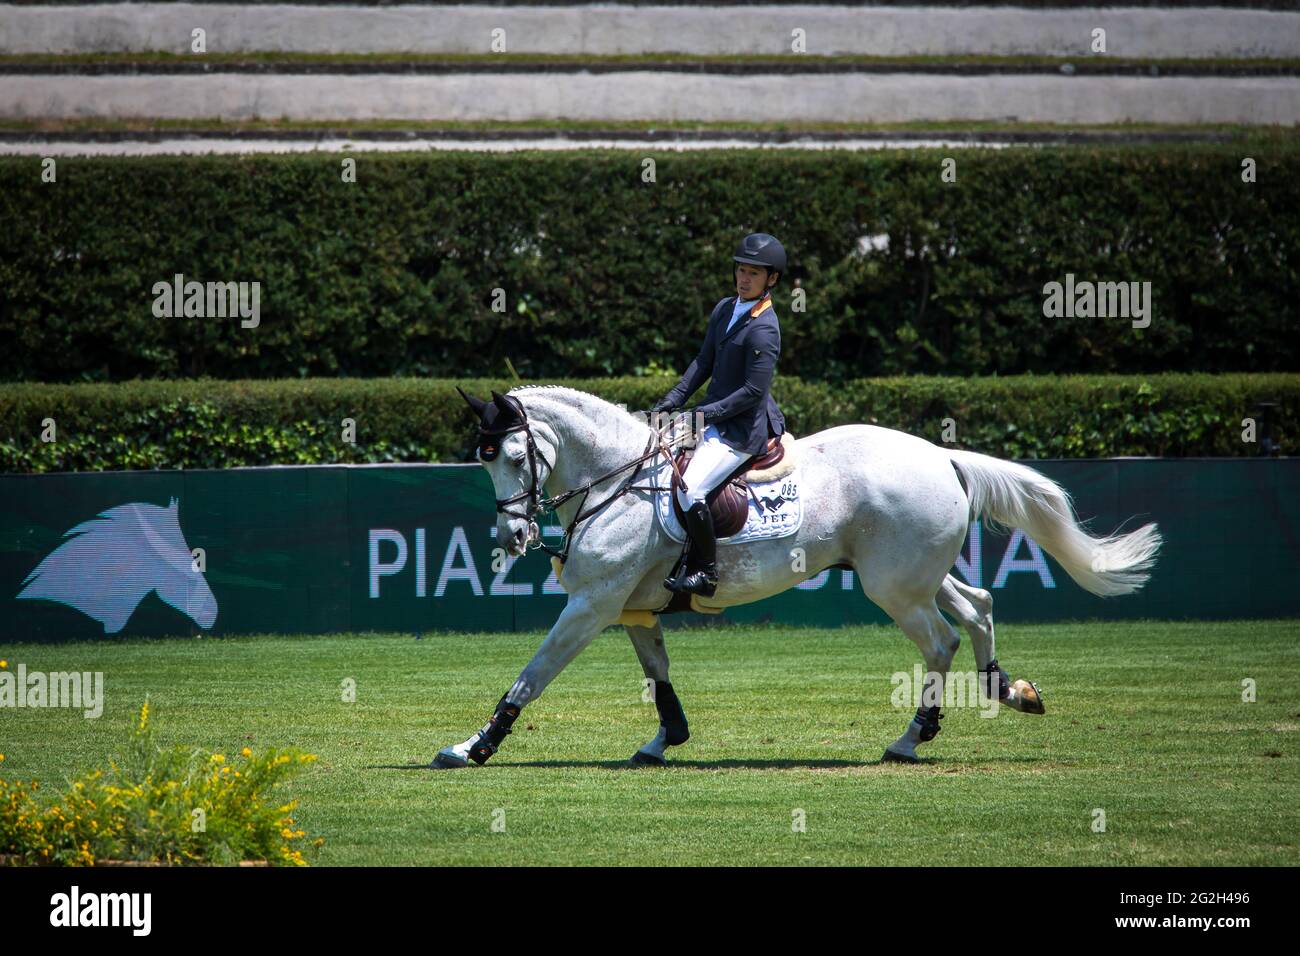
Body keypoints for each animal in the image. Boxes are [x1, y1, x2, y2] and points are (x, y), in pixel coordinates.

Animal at [436, 385, 1159, 764]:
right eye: (484, 458)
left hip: (894, 587)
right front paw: (665, 740)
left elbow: (531, 676)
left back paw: (911, 738)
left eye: (513, 455)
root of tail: (940, 454)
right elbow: (658, 677)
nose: (513, 536)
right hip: (914, 573)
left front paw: (473, 746)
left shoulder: (590, 605)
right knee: (977, 605)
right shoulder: (631, 607)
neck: (617, 480)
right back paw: (1008, 690)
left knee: (940, 640)